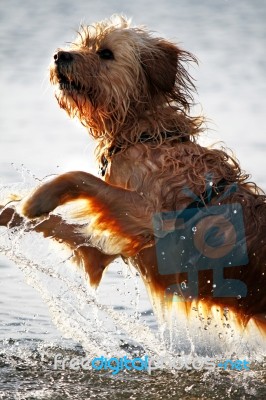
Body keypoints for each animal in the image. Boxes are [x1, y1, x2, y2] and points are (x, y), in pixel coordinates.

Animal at [0, 15, 266, 332]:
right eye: (82, 43)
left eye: (105, 53)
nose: (59, 55)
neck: (142, 136)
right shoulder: (103, 251)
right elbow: (58, 225)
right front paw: (8, 213)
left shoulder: (150, 219)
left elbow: (80, 176)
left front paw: (36, 200)